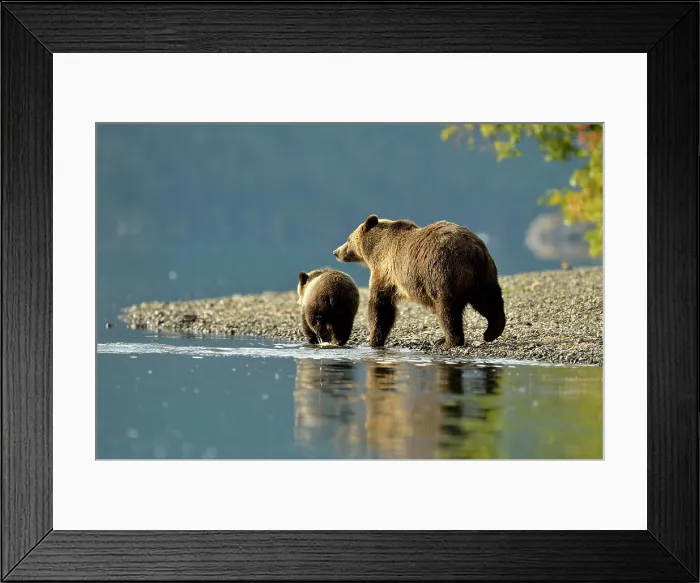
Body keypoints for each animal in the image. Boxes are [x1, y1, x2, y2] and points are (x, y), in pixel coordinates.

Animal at [333, 214, 506, 349]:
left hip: (444, 273)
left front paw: (374, 339)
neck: (375, 249)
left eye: (348, 239)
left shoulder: (385, 272)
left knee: (447, 310)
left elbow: (380, 306)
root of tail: (475, 250)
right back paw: (491, 332)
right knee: (489, 300)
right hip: (485, 275)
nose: (336, 252)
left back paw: (449, 341)